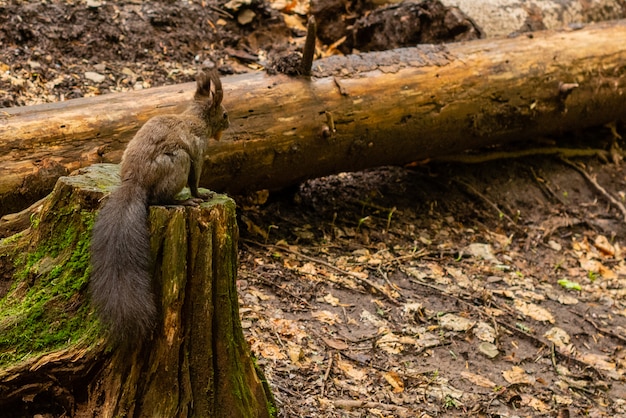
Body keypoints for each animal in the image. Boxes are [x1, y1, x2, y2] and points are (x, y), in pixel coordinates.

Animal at [89, 69, 228, 342]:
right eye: (225, 114)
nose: (229, 124)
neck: (195, 118)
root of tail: (135, 182)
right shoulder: (198, 153)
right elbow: (196, 179)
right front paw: (201, 194)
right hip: (178, 162)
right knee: (159, 199)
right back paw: (183, 201)